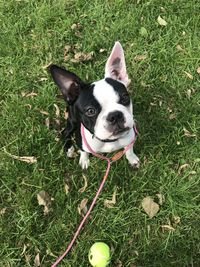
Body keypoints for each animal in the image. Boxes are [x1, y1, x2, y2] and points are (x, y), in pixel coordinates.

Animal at [49, 42, 139, 170]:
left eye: (125, 98)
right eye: (90, 111)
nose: (115, 115)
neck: (109, 141)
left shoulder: (130, 139)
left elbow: (129, 150)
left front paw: (132, 159)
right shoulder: (81, 143)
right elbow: (84, 151)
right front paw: (84, 160)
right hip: (72, 121)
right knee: (65, 132)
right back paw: (69, 148)